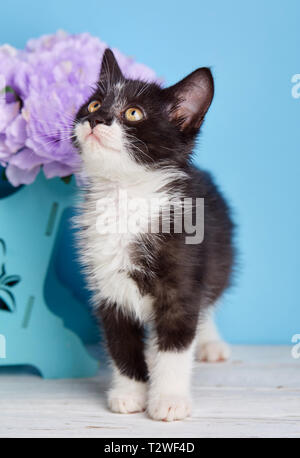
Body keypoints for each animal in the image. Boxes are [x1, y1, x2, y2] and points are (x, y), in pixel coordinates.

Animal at [72, 48, 234, 420]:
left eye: (133, 113)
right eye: (93, 104)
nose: (96, 119)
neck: (126, 197)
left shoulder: (183, 281)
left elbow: (175, 344)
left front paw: (168, 399)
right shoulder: (108, 287)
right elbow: (121, 343)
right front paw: (130, 393)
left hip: (218, 259)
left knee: (208, 301)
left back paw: (210, 343)